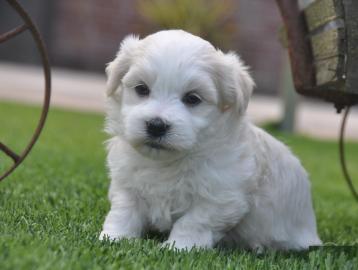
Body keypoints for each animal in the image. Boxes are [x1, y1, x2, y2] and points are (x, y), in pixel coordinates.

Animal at [100, 29, 322, 251]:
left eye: (192, 98)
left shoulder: (221, 197)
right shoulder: (126, 183)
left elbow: (192, 222)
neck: (167, 163)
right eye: (141, 89)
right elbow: (124, 211)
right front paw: (114, 237)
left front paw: (178, 247)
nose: (156, 125)